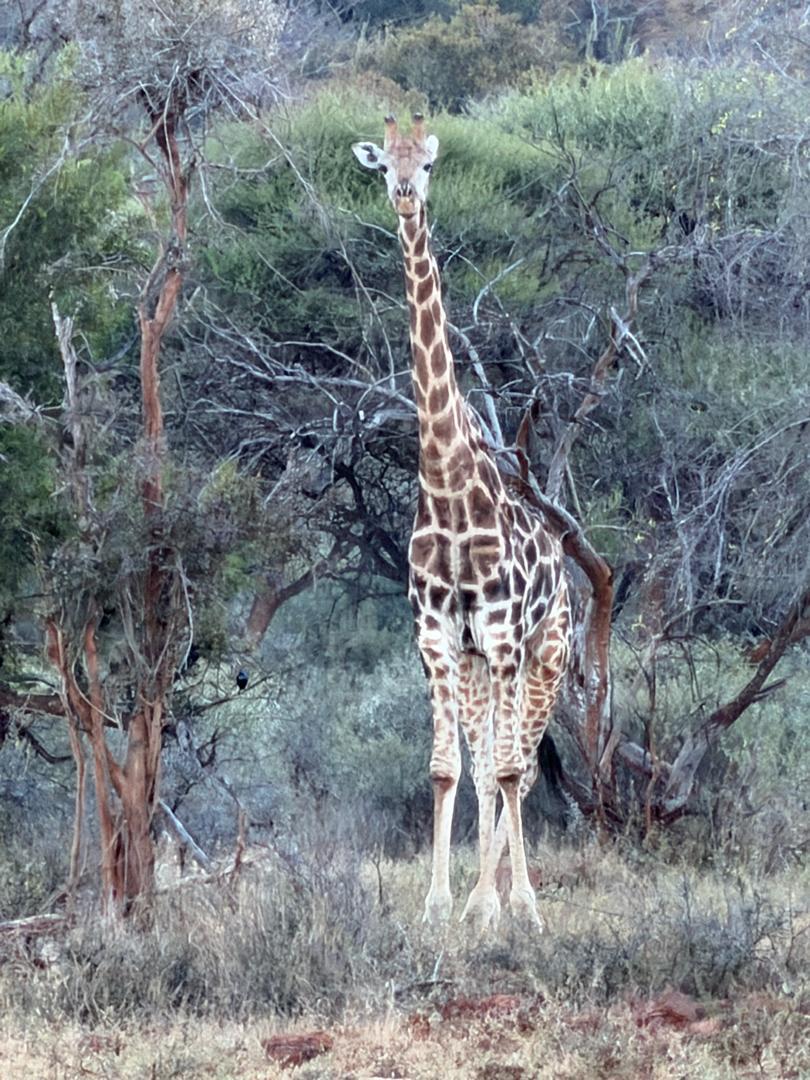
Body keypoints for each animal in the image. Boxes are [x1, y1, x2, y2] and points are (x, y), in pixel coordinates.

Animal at [352, 115, 570, 931]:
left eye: (429, 163)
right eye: (382, 163)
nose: (404, 195)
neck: (445, 480)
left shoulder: (505, 631)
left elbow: (506, 767)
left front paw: (520, 909)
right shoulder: (438, 632)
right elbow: (449, 769)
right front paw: (441, 905)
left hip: (546, 654)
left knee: (523, 766)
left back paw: (510, 900)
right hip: (482, 661)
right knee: (487, 765)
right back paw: (484, 897)